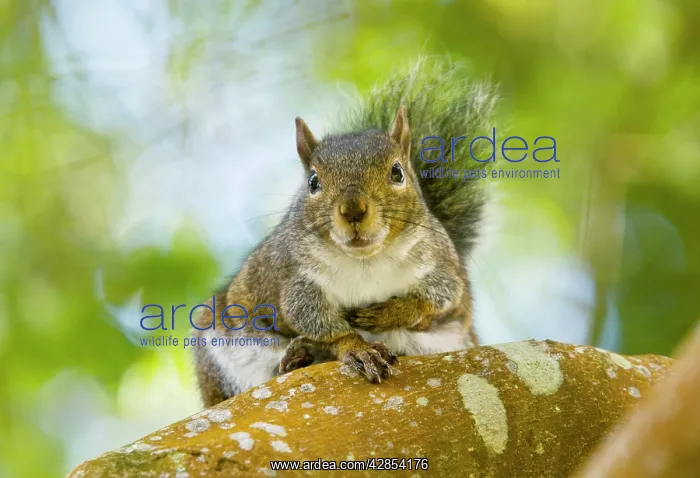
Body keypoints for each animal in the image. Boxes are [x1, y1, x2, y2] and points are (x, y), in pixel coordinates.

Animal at [192, 59, 497, 407]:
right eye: (313, 182)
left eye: (397, 172)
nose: (353, 210)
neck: (365, 260)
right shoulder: (298, 281)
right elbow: (316, 320)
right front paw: (356, 347)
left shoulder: (439, 263)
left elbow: (441, 297)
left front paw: (393, 312)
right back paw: (297, 358)